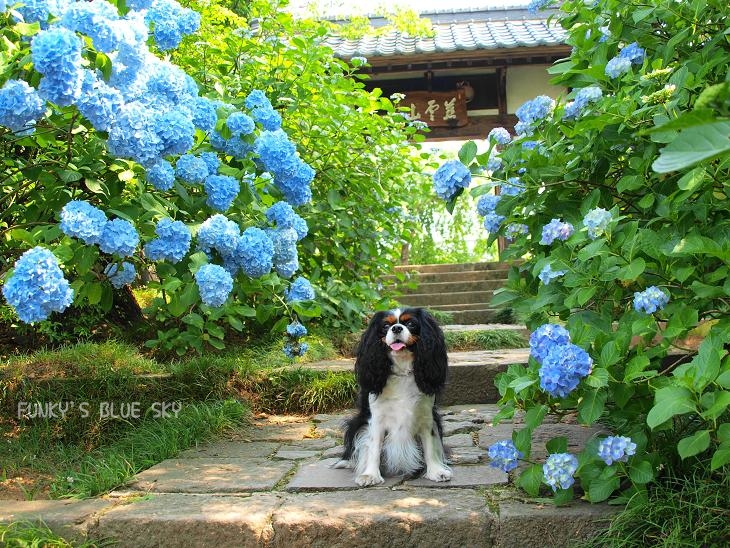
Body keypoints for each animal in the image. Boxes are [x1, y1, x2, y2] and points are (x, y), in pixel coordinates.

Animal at [334, 306, 450, 486]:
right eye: (386, 326)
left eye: (410, 323)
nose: (396, 328)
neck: (401, 371)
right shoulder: (376, 419)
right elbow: (373, 447)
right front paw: (370, 475)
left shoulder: (427, 417)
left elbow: (430, 445)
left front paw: (436, 471)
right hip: (356, 423)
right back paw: (347, 462)